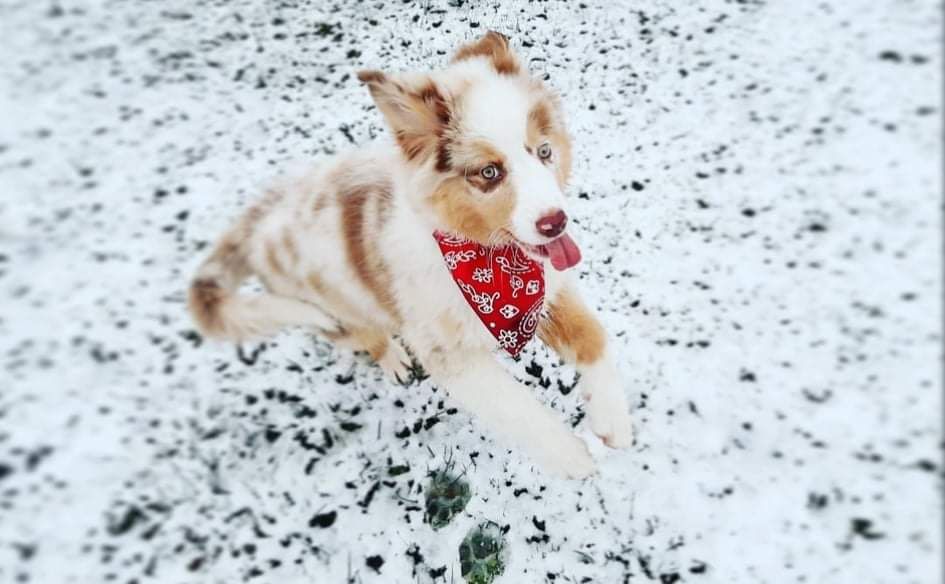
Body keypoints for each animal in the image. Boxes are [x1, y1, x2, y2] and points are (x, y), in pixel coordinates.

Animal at [187, 32, 636, 476]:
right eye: (489, 173)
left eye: (543, 151)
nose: (556, 223)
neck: (485, 258)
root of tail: (257, 216)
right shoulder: (450, 356)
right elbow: (521, 412)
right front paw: (576, 461)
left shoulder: (548, 292)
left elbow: (594, 337)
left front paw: (614, 423)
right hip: (330, 310)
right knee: (365, 335)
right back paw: (392, 359)